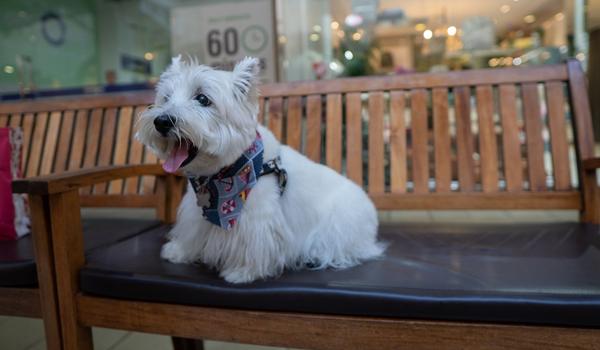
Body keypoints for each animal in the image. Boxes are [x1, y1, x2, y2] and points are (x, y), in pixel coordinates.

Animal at [136, 55, 384, 284]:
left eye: (203, 99)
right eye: (166, 97)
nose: (162, 121)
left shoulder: (257, 222)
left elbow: (254, 248)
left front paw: (242, 272)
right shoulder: (195, 214)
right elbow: (192, 233)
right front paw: (178, 251)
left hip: (337, 229)